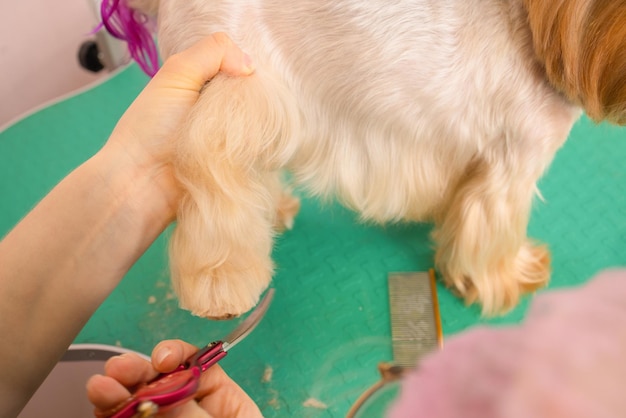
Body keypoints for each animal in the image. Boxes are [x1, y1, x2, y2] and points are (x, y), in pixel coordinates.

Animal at [128, 0, 624, 316]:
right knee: (208, 171)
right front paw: (502, 281)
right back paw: (220, 285)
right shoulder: (510, 168)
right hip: (230, 84)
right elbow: (490, 238)